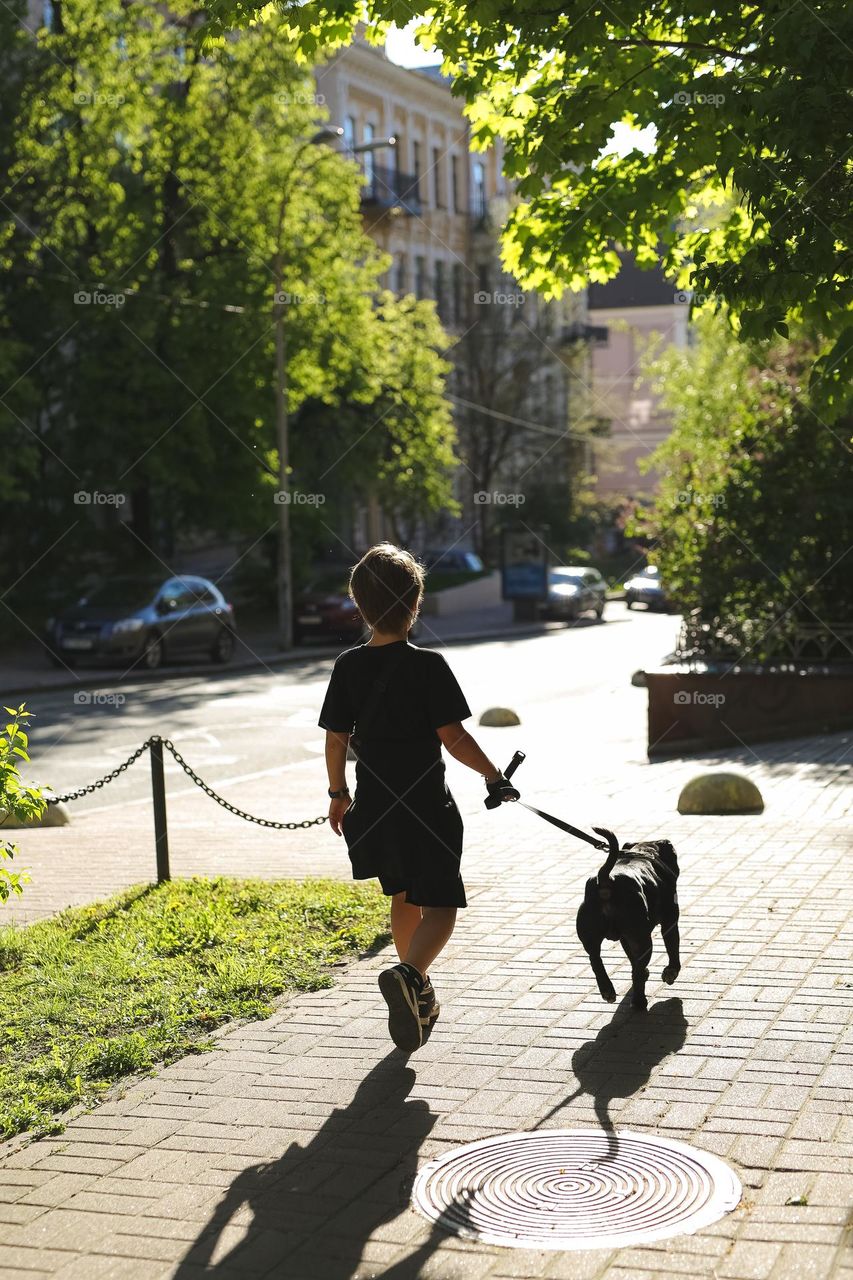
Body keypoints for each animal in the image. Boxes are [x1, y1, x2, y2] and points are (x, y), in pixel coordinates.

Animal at [573, 829, 681, 1008]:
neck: (645, 850)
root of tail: (606, 880)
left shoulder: (626, 937)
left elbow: (632, 958)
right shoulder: (670, 921)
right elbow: (672, 948)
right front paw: (671, 971)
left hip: (591, 936)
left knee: (595, 959)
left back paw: (607, 990)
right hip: (642, 939)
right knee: (636, 972)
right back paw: (639, 1002)